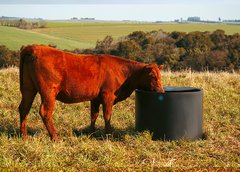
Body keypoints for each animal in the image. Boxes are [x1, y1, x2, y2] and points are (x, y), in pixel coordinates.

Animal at [19, 45, 165, 140]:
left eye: (160, 76)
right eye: (153, 76)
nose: (162, 91)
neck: (125, 73)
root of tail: (34, 47)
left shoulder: (95, 98)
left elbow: (93, 115)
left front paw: (91, 133)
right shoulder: (108, 96)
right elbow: (107, 115)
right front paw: (108, 135)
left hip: (28, 89)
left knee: (24, 108)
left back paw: (24, 136)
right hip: (49, 92)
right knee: (45, 112)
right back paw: (55, 138)